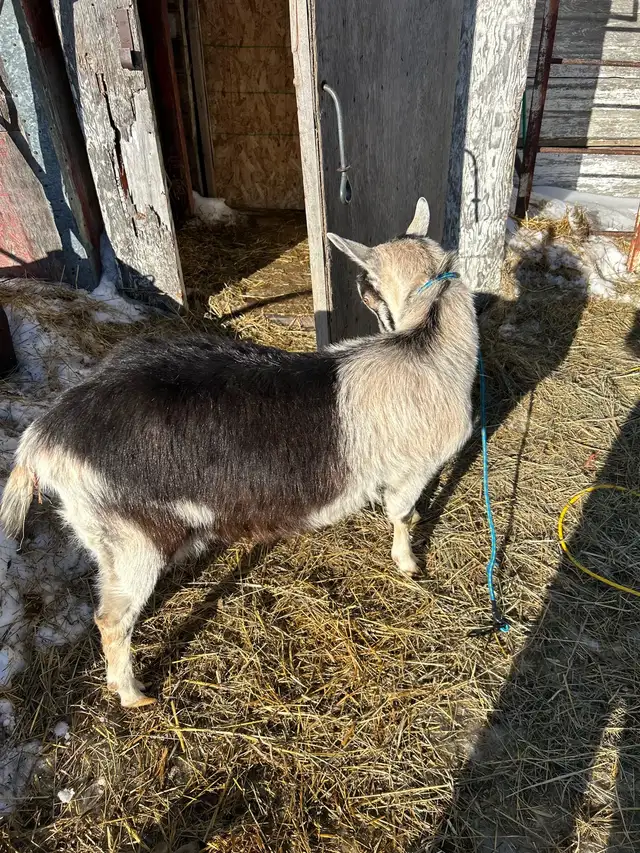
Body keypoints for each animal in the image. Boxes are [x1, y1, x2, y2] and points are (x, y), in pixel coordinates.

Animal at [0, 198, 478, 708]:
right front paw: (409, 564)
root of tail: (45, 436)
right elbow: (401, 516)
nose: (358, 287)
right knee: (111, 619)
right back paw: (133, 694)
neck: (425, 348)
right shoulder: (413, 469)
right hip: (128, 537)